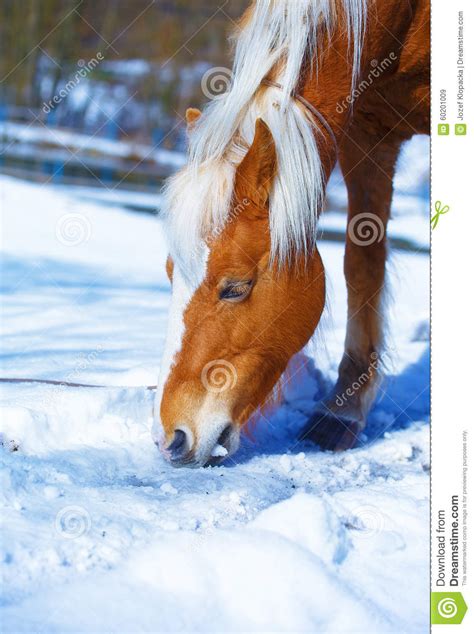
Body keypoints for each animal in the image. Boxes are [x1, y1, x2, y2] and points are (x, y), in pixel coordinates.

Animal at [151, 0, 430, 464]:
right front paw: (343, 411)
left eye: (236, 287)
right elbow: (362, 264)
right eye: (171, 273)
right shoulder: (368, 133)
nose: (171, 438)